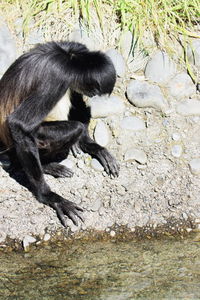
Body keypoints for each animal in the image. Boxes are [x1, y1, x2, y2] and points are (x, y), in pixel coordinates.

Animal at [0, 41, 119, 226]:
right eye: (94, 90)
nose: (92, 94)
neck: (69, 56)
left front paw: (94, 147)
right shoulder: (59, 75)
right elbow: (18, 124)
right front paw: (50, 197)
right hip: (36, 137)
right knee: (75, 127)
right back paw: (46, 165)